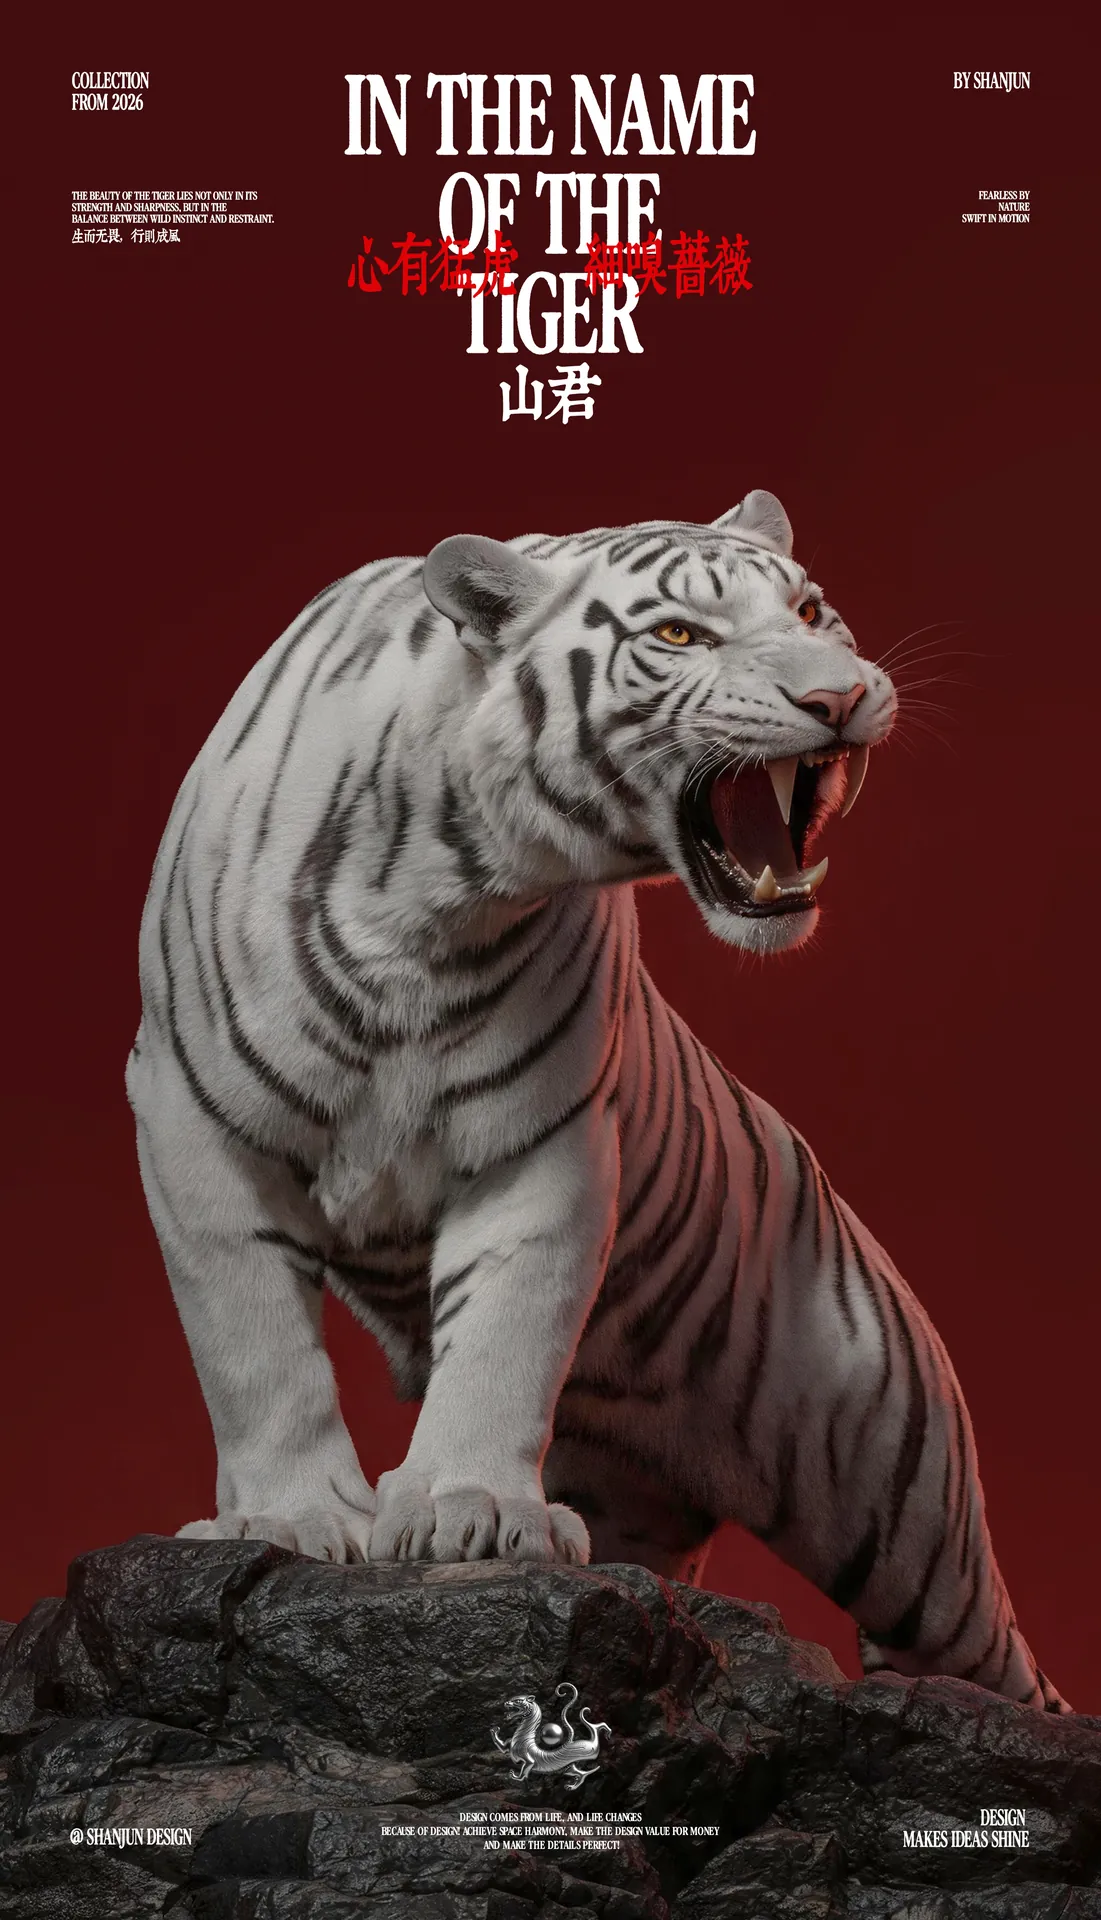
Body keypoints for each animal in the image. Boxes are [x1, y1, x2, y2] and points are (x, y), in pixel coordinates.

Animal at [127, 488, 1068, 1712]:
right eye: (677, 635)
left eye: (811, 611)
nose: (838, 696)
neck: (438, 898)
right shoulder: (192, 1124)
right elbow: (254, 1344)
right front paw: (292, 1519)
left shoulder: (538, 1137)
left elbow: (504, 1330)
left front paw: (466, 1512)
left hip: (904, 1519)